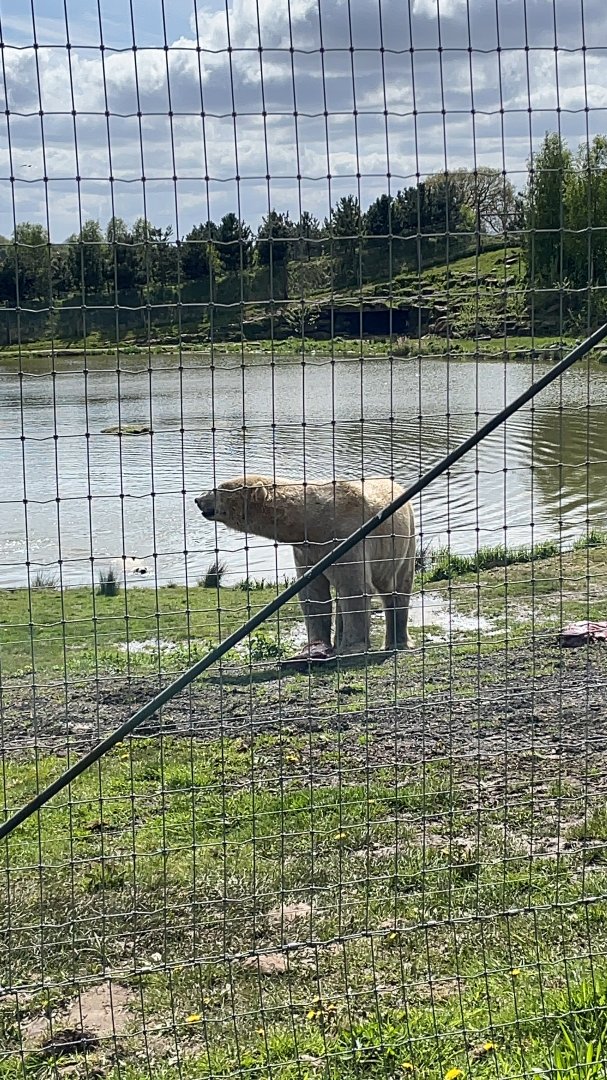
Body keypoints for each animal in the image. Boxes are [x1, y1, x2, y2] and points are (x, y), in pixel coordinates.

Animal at [195, 474, 416, 657]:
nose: (198, 500)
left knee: (397, 587)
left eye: (219, 488)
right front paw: (314, 647)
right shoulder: (307, 551)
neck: (314, 521)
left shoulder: (347, 537)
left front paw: (353, 647)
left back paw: (398, 642)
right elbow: (313, 594)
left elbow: (354, 588)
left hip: (403, 541)